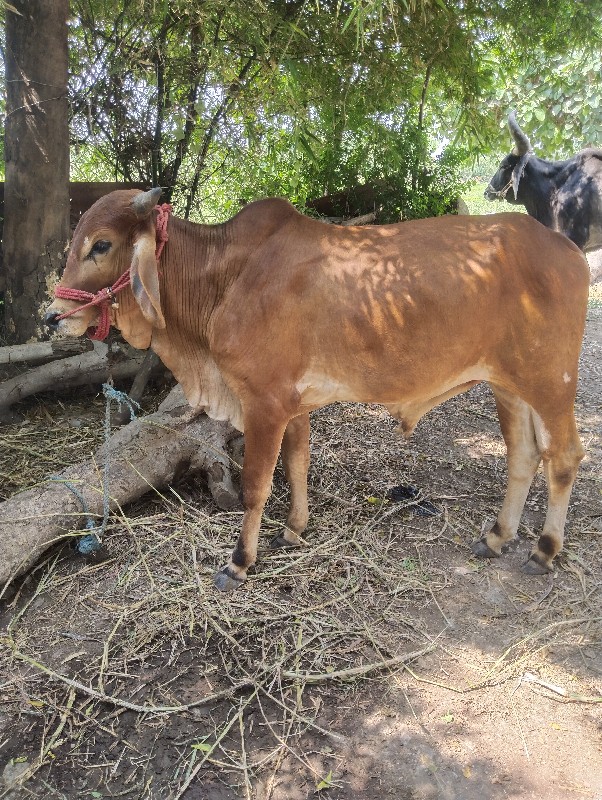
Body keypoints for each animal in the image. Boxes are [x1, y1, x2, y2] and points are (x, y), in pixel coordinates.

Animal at [44, 186, 588, 588]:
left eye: (100, 245)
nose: (52, 317)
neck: (225, 277)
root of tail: (568, 249)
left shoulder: (263, 401)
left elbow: (256, 485)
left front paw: (239, 561)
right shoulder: (293, 404)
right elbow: (297, 465)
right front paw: (294, 530)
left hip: (551, 383)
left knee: (563, 457)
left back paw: (544, 550)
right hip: (509, 385)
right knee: (523, 457)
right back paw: (497, 537)